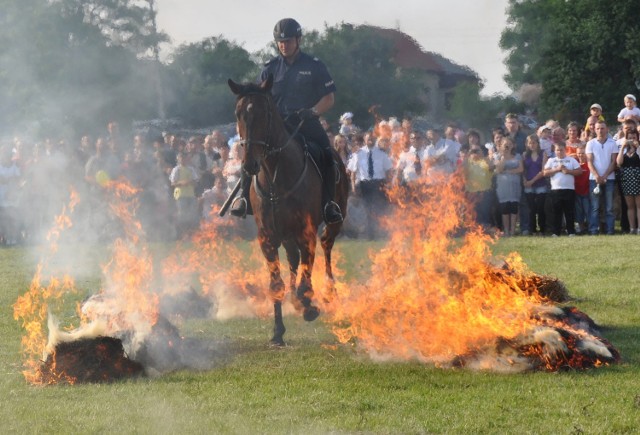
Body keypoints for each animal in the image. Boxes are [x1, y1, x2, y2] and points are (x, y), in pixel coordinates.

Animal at [229, 76, 350, 348]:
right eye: (238, 113)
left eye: (264, 113)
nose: (249, 164)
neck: (276, 175)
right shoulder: (268, 237)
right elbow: (277, 284)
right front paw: (277, 332)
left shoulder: (307, 233)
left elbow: (306, 279)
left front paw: (308, 305)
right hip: (286, 235)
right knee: (294, 261)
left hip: (333, 222)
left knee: (326, 247)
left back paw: (328, 292)